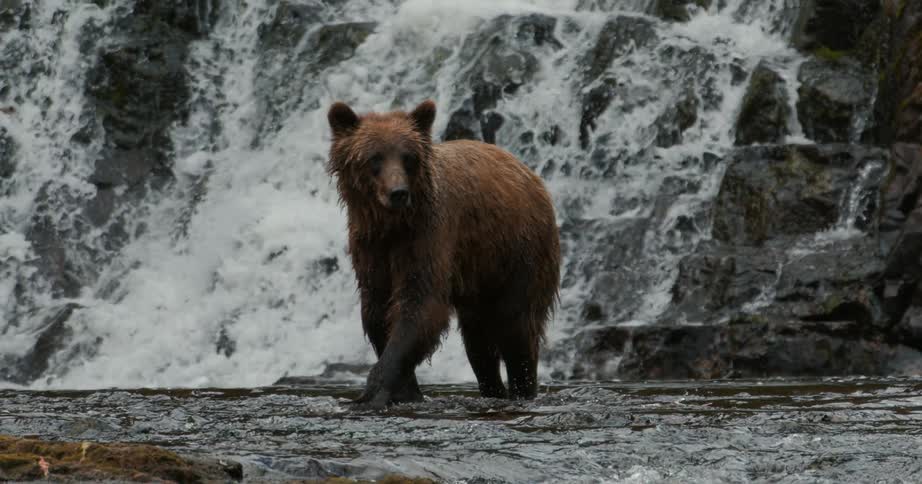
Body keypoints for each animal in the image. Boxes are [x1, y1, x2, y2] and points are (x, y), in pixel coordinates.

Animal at [326, 99, 561, 410]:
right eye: (374, 158)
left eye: (407, 157)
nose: (398, 193)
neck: (392, 225)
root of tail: (530, 174)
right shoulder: (371, 250)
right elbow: (377, 311)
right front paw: (406, 391)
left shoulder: (428, 237)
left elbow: (420, 305)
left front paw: (375, 390)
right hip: (478, 276)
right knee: (479, 344)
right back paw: (493, 390)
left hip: (519, 253)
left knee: (517, 329)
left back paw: (522, 390)